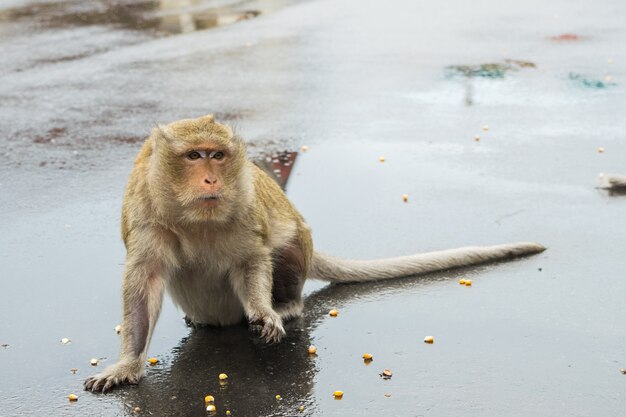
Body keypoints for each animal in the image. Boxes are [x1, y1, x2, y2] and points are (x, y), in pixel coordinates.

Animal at [85, 113, 544, 390]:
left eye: (217, 156)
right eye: (194, 156)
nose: (212, 180)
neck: (193, 218)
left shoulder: (245, 202)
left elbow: (252, 259)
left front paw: (266, 313)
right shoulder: (144, 214)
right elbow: (144, 282)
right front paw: (127, 365)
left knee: (286, 245)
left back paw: (287, 305)